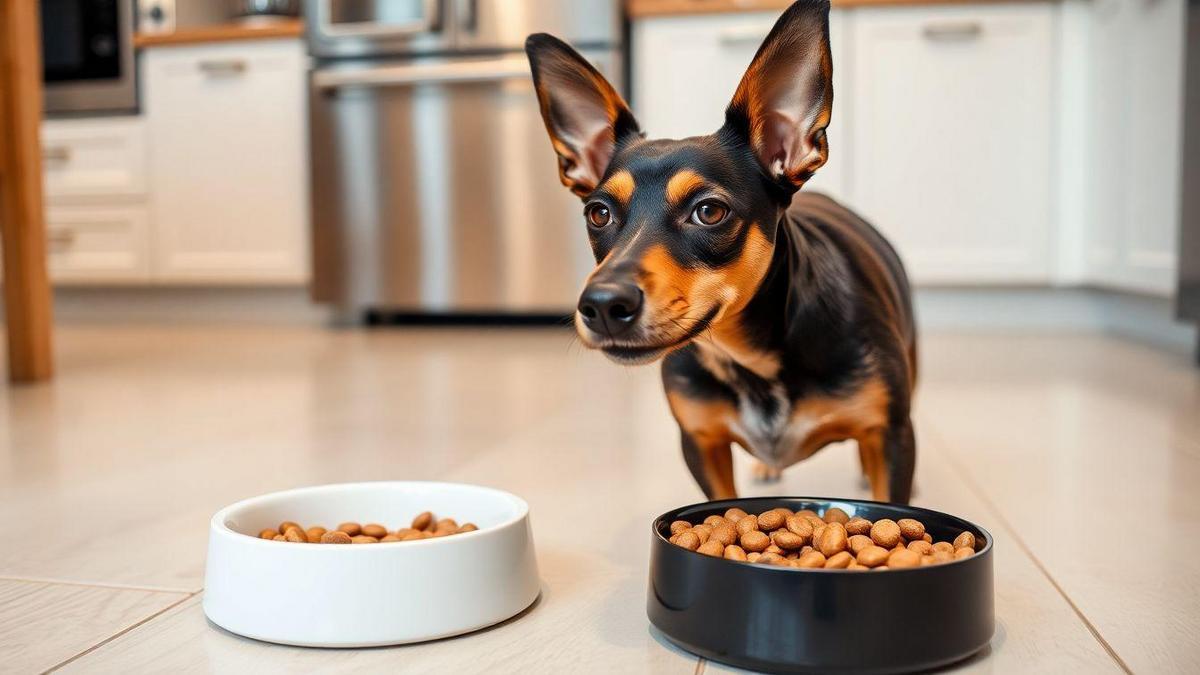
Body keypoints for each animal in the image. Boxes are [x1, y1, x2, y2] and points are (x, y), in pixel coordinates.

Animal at [525, 0, 916, 502]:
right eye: (598, 213)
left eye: (709, 211)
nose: (603, 305)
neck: (750, 362)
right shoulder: (701, 442)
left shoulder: (891, 436)